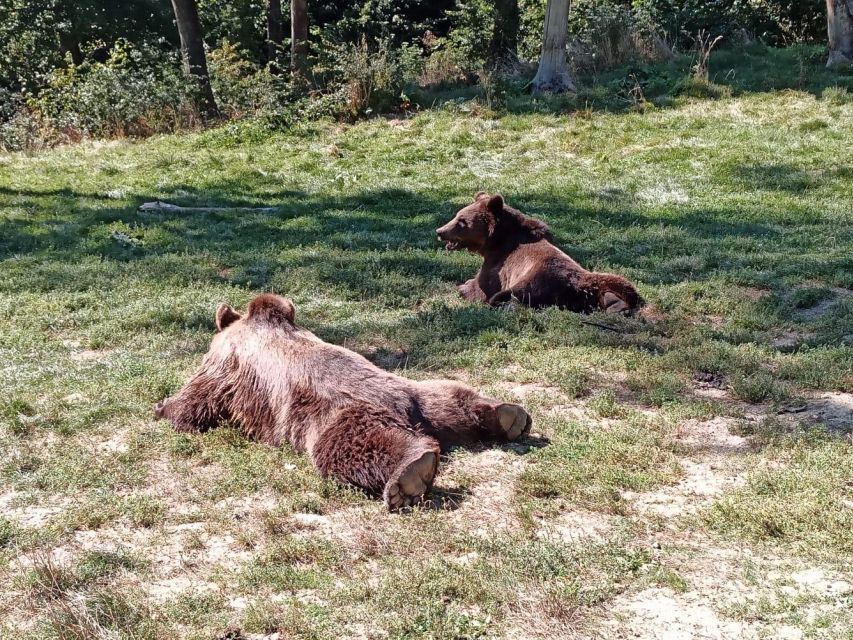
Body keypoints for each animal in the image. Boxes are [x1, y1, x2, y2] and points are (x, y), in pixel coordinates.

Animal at [154, 294, 532, 511]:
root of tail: (406, 409)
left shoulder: (225, 364)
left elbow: (199, 394)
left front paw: (165, 408)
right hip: (425, 395)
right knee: (452, 397)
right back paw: (508, 416)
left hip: (338, 417)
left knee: (350, 447)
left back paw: (410, 474)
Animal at [436, 192, 643, 314]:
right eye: (456, 215)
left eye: (462, 221)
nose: (440, 231)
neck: (496, 240)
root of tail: (575, 284)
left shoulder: (498, 264)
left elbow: (481, 286)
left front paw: (464, 287)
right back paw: (615, 304)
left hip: (536, 278)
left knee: (511, 295)